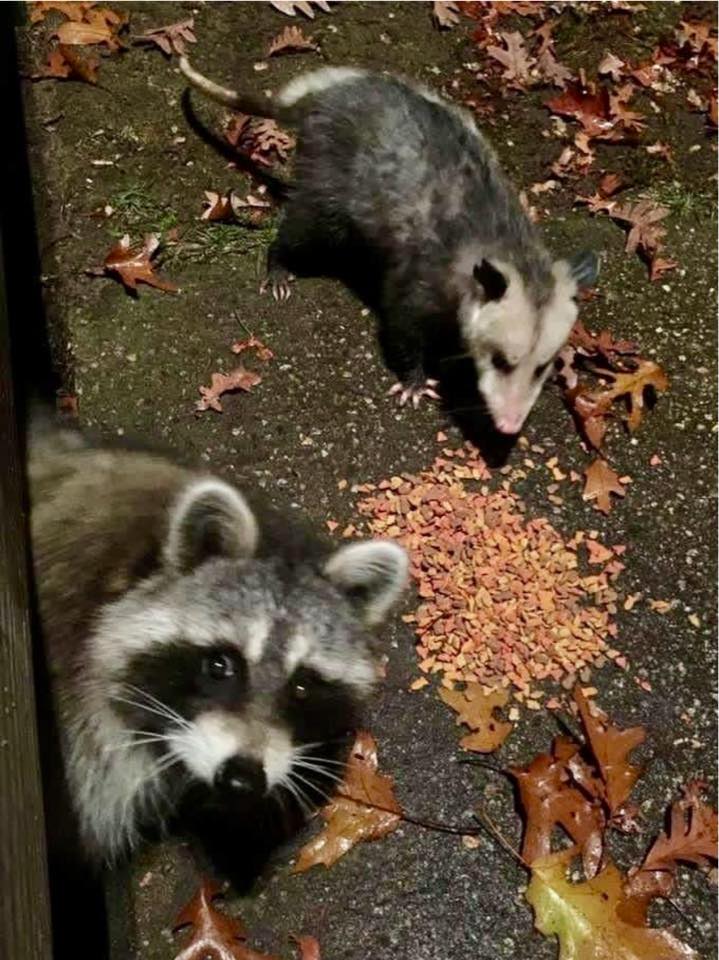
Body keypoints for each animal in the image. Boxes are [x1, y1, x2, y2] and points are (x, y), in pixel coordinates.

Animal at [180, 60, 599, 433]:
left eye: (542, 367)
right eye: (500, 362)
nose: (510, 427)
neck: (502, 245)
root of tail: (328, 92)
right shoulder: (420, 277)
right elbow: (401, 324)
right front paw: (415, 383)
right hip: (327, 185)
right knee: (302, 226)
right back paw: (279, 269)